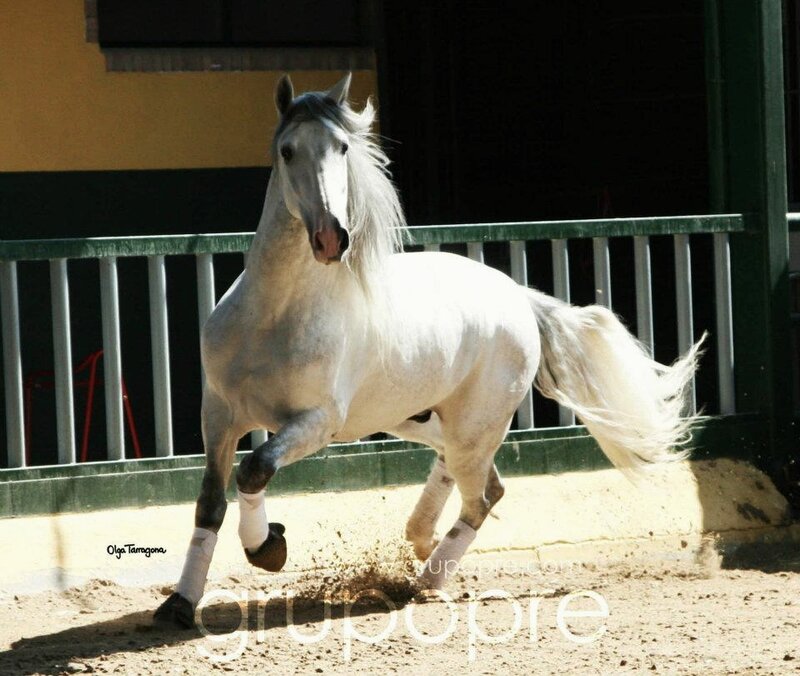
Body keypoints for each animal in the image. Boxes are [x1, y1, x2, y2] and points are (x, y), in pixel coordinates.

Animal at [154, 74, 704, 628]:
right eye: (288, 151)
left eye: (343, 147)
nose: (331, 238)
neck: (274, 317)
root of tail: (520, 299)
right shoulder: (219, 414)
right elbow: (210, 502)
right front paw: (179, 604)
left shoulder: (317, 423)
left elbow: (255, 468)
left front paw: (268, 548)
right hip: (421, 418)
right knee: (467, 474)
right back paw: (420, 541)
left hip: (474, 425)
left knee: (482, 496)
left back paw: (425, 582)